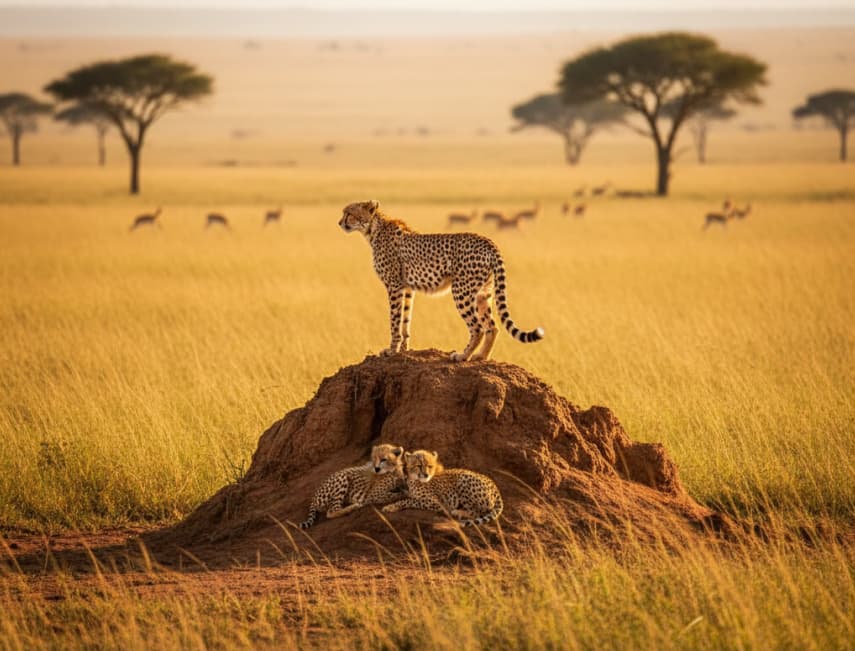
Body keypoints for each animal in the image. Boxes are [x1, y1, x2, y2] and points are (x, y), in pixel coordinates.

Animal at [338, 200, 544, 362]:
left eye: (349, 213)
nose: (339, 222)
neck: (373, 229)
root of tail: (487, 241)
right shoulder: (407, 288)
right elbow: (406, 319)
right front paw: (403, 350)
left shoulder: (394, 286)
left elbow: (394, 320)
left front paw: (391, 350)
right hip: (483, 293)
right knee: (492, 327)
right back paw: (480, 356)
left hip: (461, 291)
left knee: (477, 327)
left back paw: (462, 356)